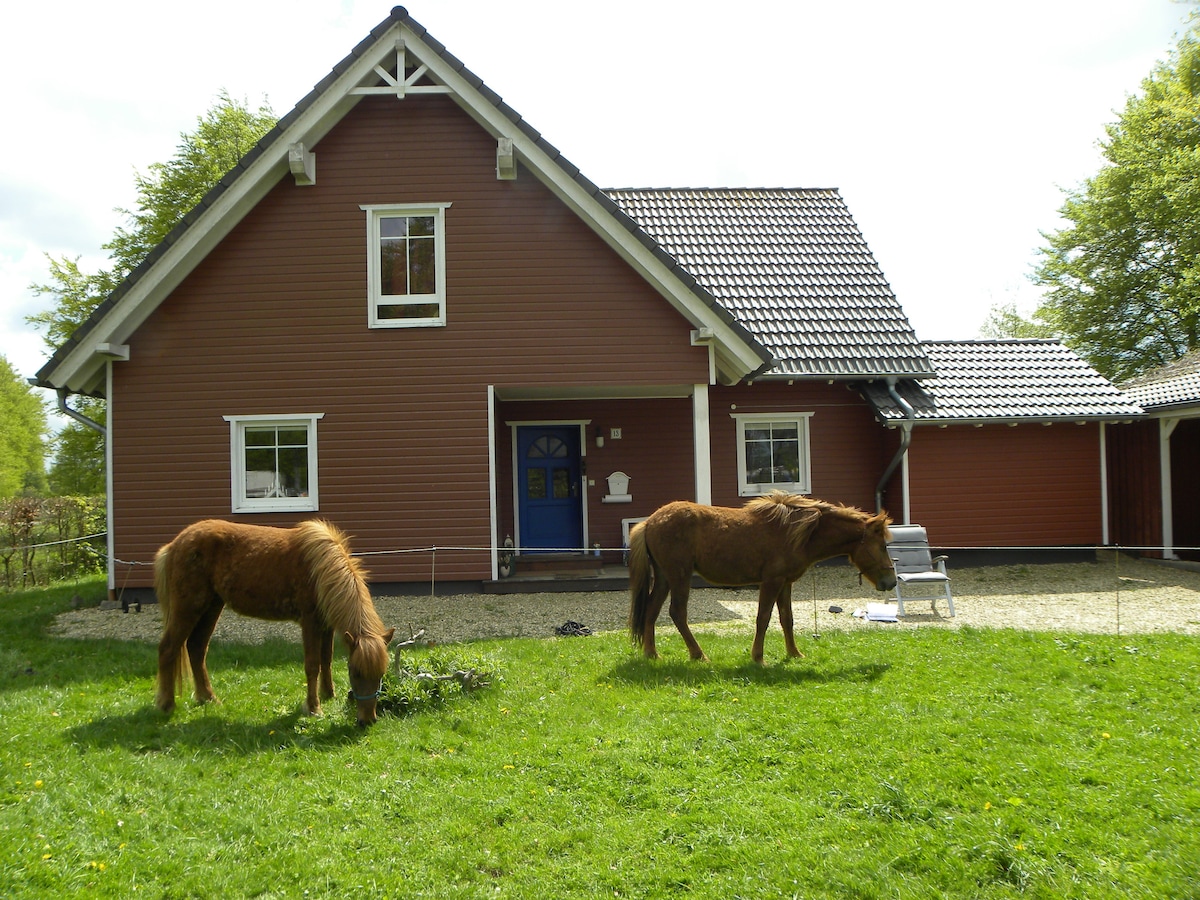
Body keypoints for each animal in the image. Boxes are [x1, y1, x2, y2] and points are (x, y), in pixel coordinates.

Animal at [154, 519, 395, 726]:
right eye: (355, 673)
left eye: (381, 674)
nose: (367, 720)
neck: (320, 570)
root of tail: (176, 544)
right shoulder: (310, 623)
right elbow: (313, 665)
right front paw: (314, 708)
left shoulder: (326, 625)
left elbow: (326, 660)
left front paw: (329, 694)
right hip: (189, 607)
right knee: (168, 648)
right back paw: (167, 705)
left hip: (212, 606)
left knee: (196, 648)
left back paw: (208, 698)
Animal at [629, 492, 897, 663]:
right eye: (882, 545)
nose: (891, 581)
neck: (797, 532)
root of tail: (650, 522)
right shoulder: (771, 582)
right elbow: (763, 618)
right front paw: (758, 657)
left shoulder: (785, 584)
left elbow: (787, 619)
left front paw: (794, 653)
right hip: (679, 577)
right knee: (677, 613)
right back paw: (698, 654)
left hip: (664, 578)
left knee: (651, 611)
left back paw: (652, 654)